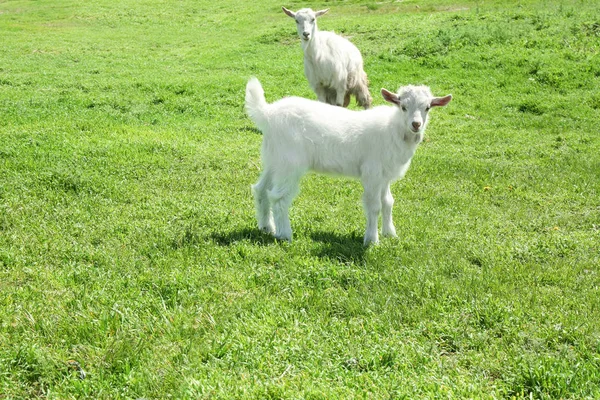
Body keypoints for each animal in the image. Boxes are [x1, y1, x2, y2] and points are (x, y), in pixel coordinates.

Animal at [244, 77, 450, 245]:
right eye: (403, 107)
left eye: (427, 107)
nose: (416, 124)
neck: (393, 129)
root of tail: (268, 114)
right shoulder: (372, 173)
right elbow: (374, 206)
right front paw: (371, 240)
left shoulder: (385, 176)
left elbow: (388, 202)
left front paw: (390, 233)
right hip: (290, 163)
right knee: (279, 197)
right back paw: (285, 234)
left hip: (274, 160)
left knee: (261, 189)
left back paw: (266, 227)